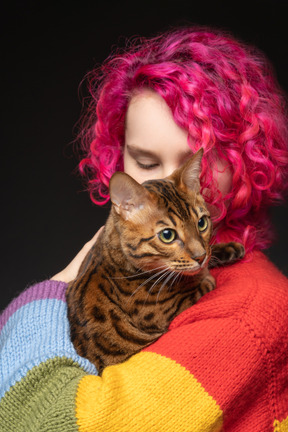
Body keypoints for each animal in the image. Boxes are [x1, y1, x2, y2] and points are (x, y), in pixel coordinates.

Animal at [66, 150, 244, 372]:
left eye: (202, 223)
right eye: (167, 235)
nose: (200, 257)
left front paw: (227, 249)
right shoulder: (171, 307)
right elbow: (205, 281)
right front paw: (205, 270)